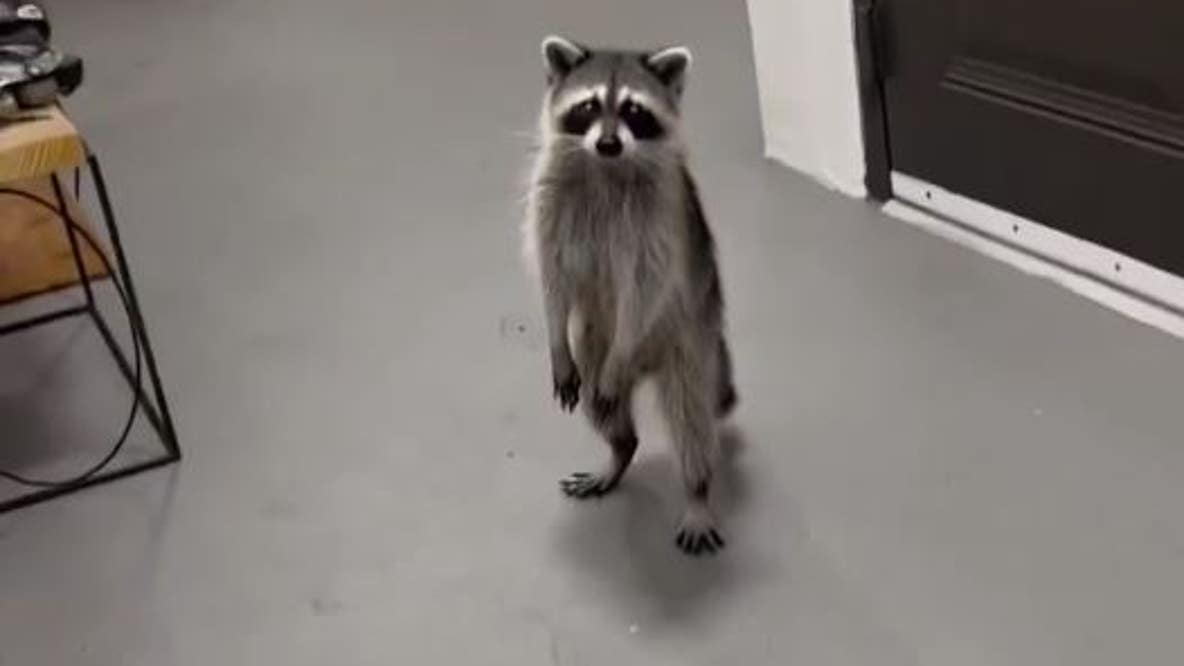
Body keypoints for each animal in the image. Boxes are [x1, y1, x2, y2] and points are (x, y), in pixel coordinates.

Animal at [523, 36, 737, 555]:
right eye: (588, 106)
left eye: (633, 110)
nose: (607, 143)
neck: (605, 166)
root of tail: (645, 365)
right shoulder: (549, 202)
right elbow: (554, 277)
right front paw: (553, 334)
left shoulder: (657, 222)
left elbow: (645, 286)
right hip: (591, 343)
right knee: (602, 407)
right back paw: (619, 451)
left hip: (688, 346)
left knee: (691, 420)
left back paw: (697, 491)